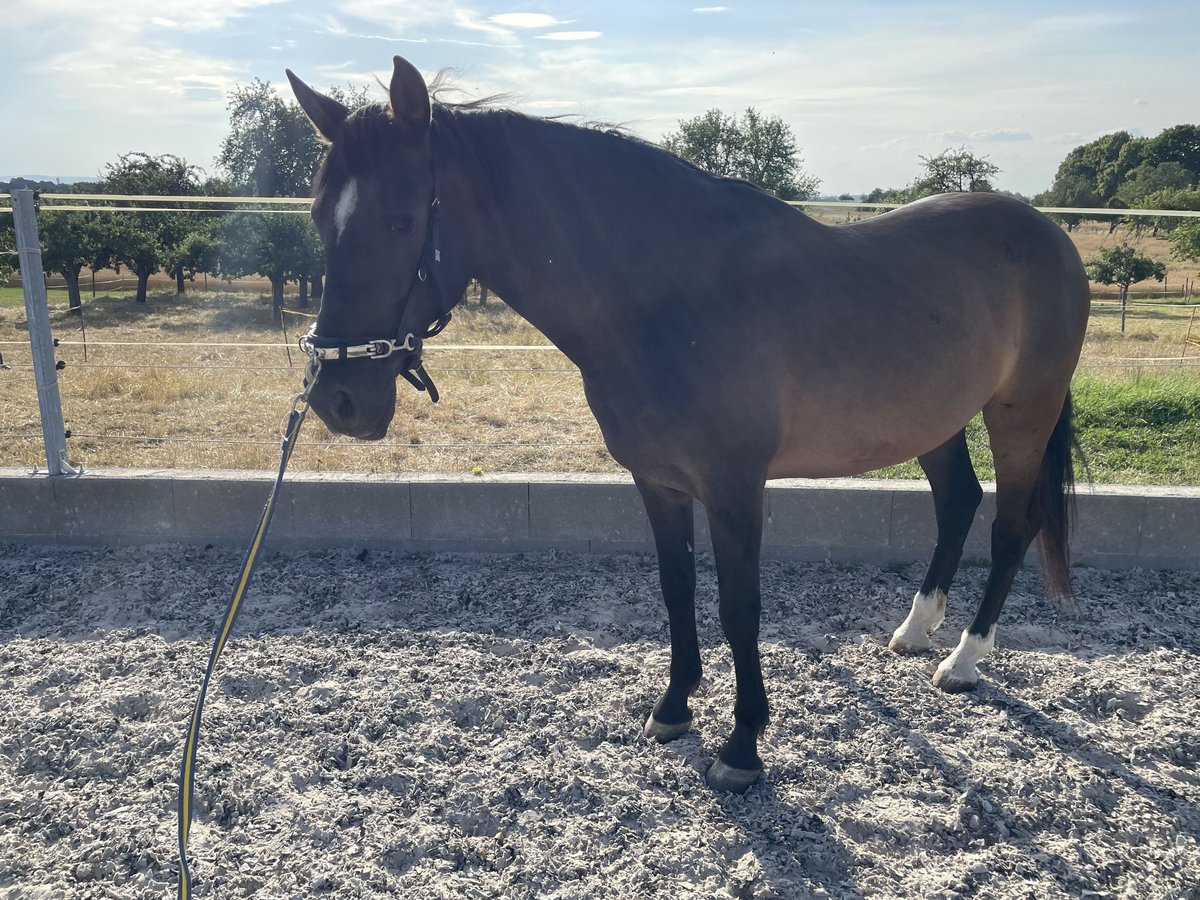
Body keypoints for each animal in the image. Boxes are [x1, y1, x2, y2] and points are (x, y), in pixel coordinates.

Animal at [285, 56, 1094, 792]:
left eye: (401, 220)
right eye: (320, 218)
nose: (336, 399)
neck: (669, 299)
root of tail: (1047, 235)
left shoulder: (735, 486)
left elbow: (740, 607)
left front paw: (743, 745)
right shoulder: (658, 481)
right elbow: (677, 591)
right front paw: (674, 708)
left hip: (1022, 414)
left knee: (1010, 525)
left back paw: (964, 660)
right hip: (935, 422)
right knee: (957, 501)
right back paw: (915, 632)